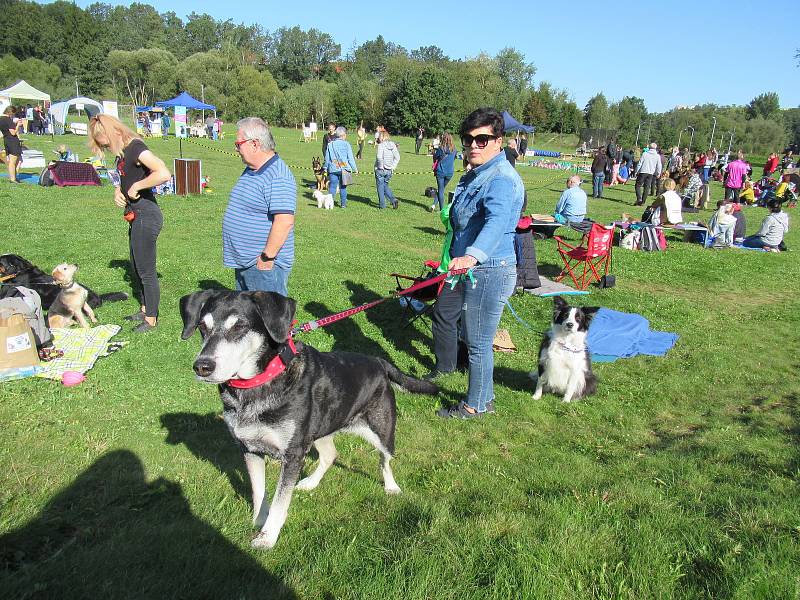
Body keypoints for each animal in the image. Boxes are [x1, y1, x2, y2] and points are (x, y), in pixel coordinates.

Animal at [180, 290, 438, 548]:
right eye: (202, 326)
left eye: (239, 326)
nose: (202, 366)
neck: (257, 386)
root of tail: (378, 361)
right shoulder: (249, 448)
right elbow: (258, 491)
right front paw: (258, 521)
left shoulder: (293, 454)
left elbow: (280, 500)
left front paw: (268, 536)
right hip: (320, 429)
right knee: (331, 455)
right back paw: (310, 483)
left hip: (382, 430)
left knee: (385, 460)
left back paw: (391, 487)